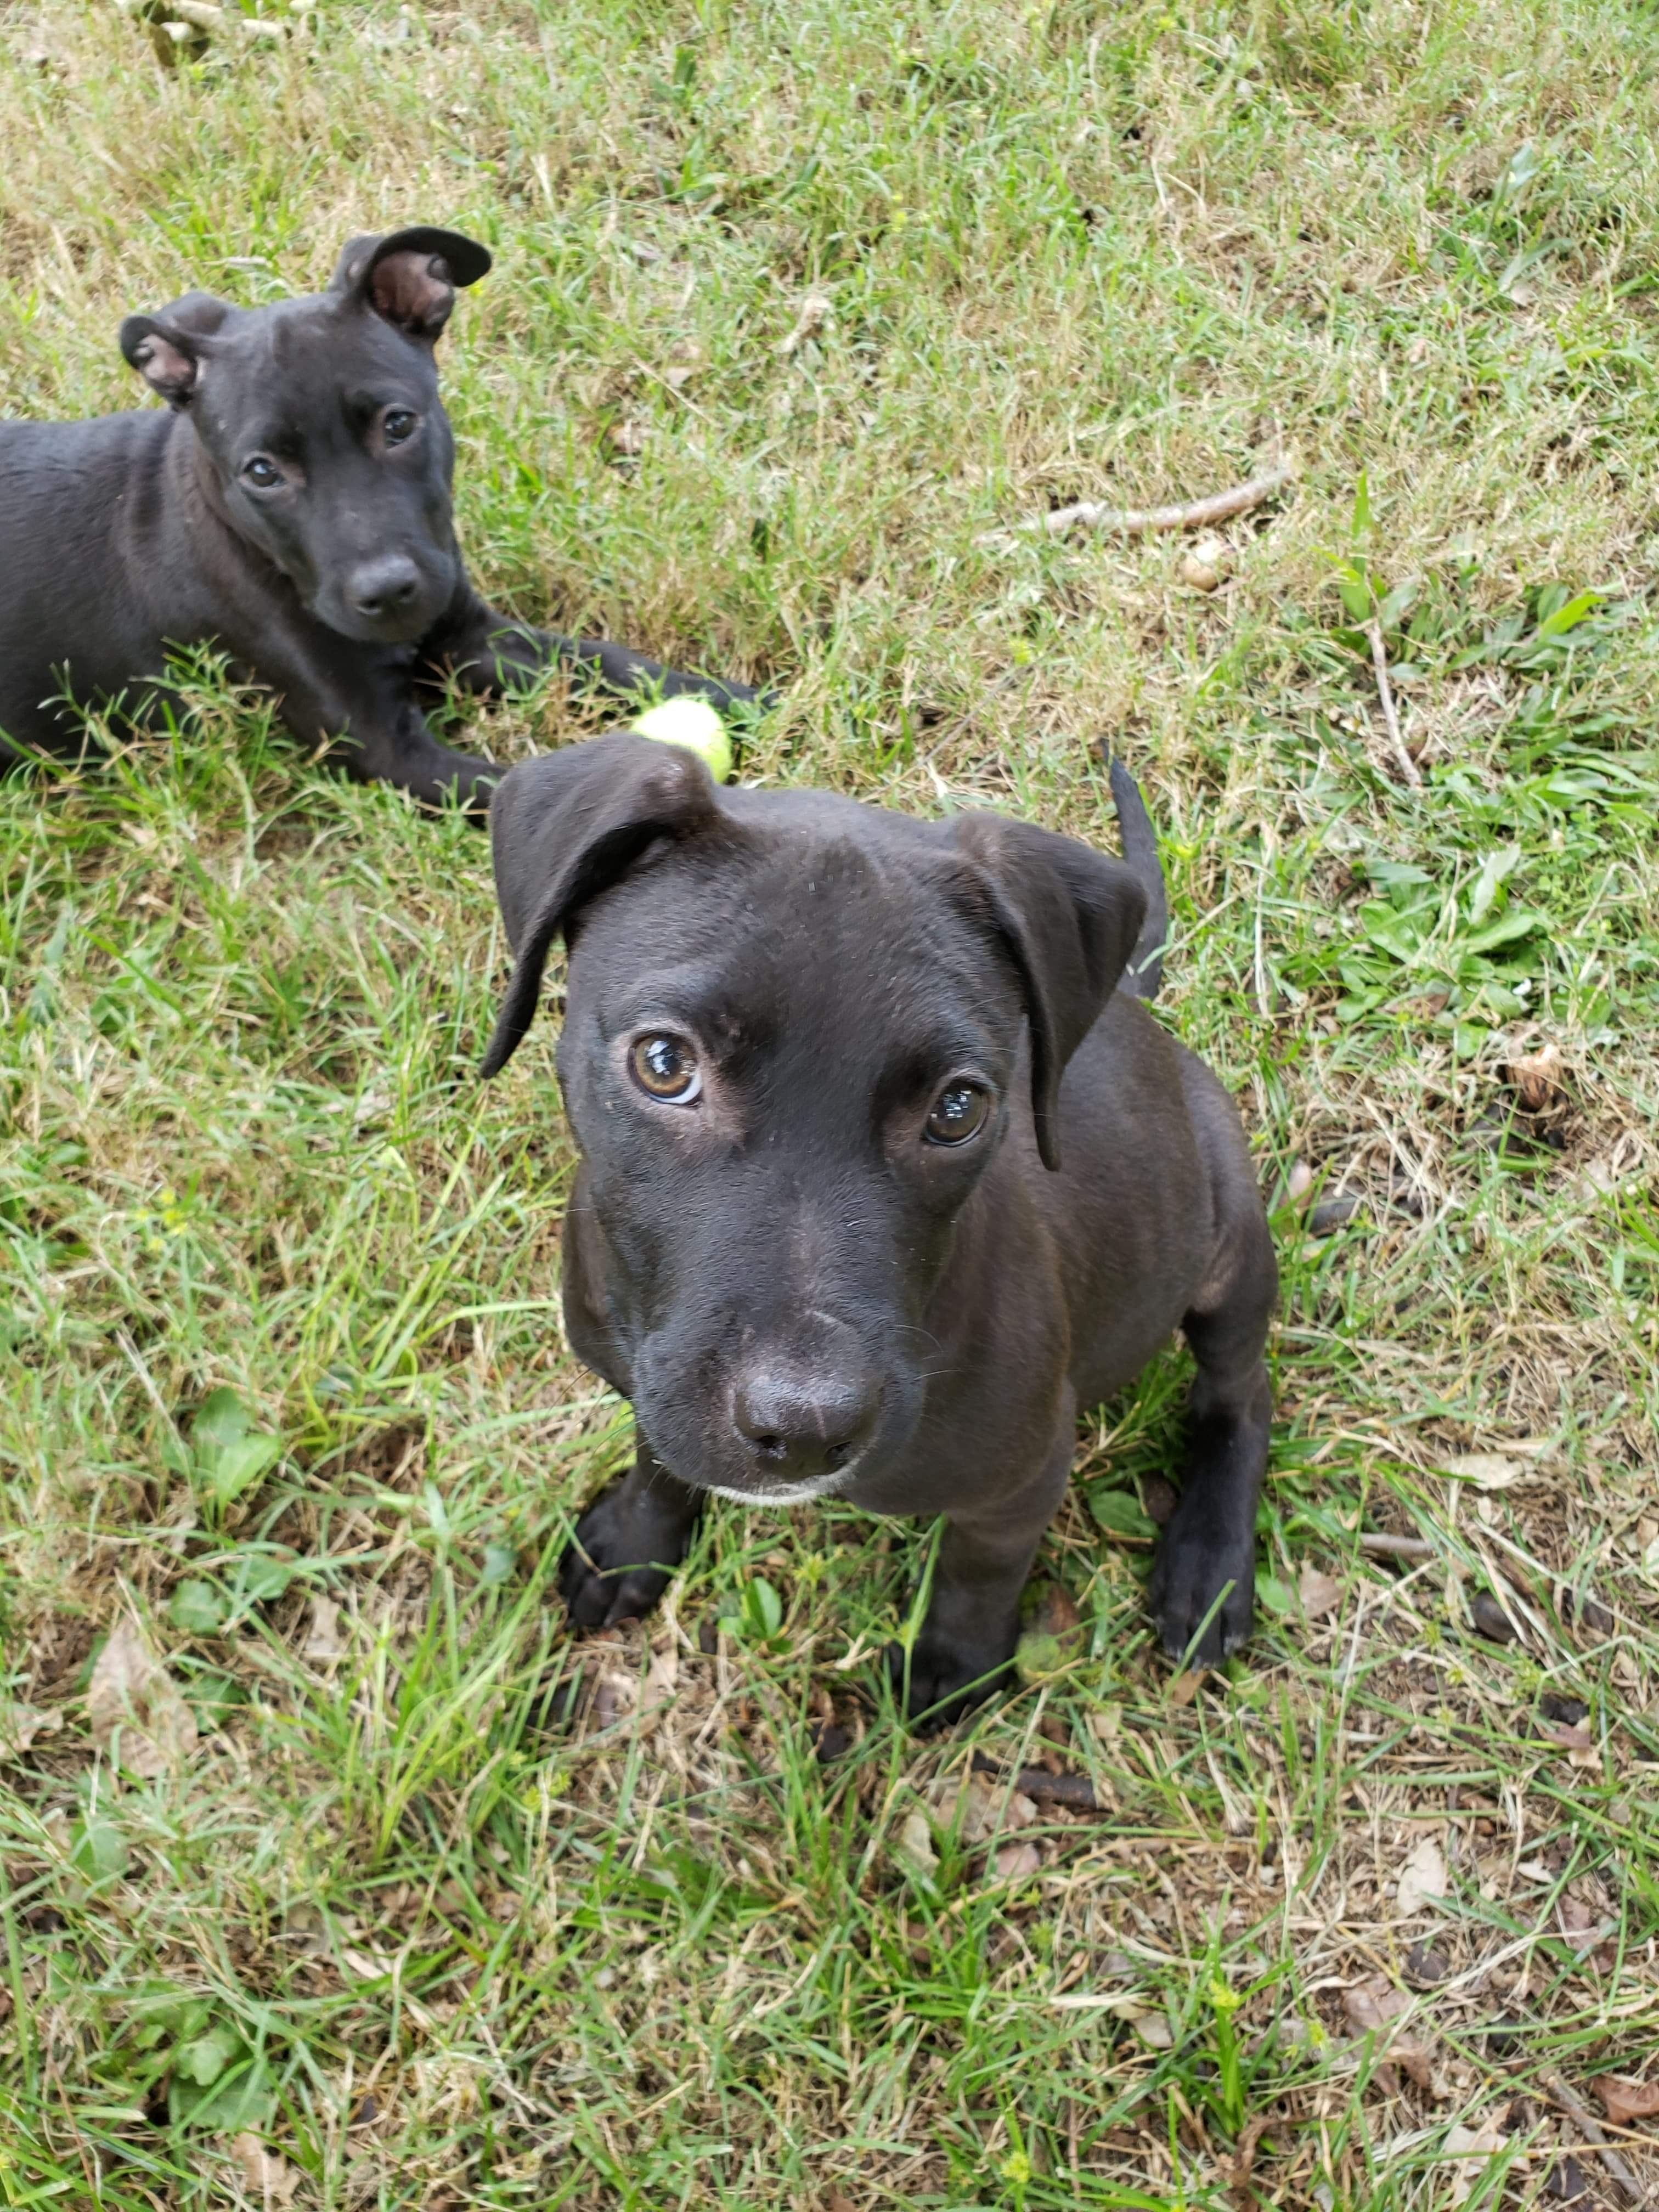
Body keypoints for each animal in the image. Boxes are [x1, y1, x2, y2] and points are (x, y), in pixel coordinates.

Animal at [0, 229, 765, 814]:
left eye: (398, 425)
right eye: (262, 473)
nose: (389, 592)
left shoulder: (468, 633)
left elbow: (614, 662)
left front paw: (746, 698)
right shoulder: (386, 749)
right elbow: (521, 787)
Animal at [487, 734, 1283, 1716]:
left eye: (958, 1109)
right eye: (664, 1063)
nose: (805, 1429)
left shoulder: (1025, 1474)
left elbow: (983, 1569)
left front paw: (954, 1664)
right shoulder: (649, 1376)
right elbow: (657, 1455)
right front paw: (637, 1544)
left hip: (1229, 1243)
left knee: (1239, 1395)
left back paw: (1208, 1564)